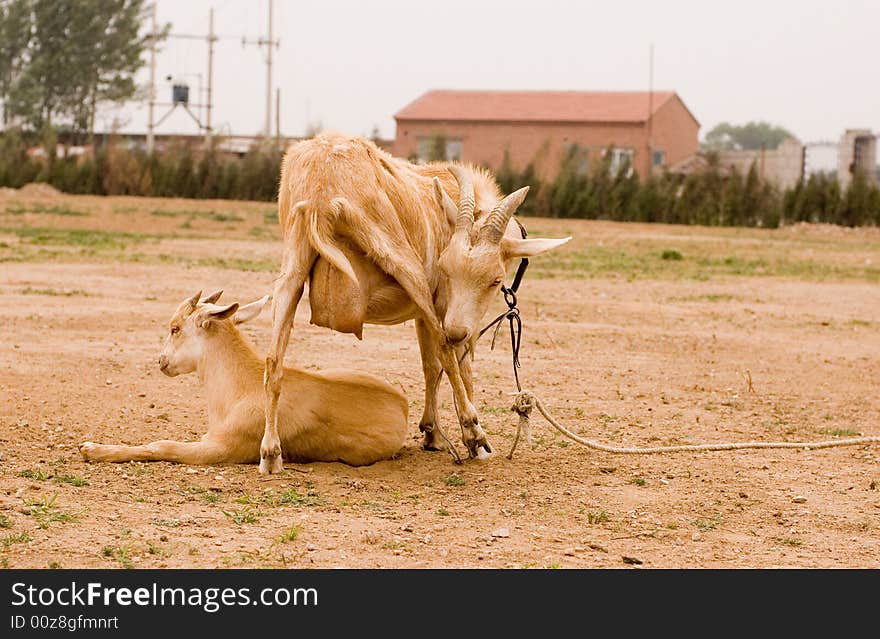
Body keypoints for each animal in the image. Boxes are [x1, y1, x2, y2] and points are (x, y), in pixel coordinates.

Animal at [79, 292, 410, 468]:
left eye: (175, 328)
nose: (162, 361)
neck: (241, 388)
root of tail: (404, 403)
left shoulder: (221, 449)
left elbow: (163, 446)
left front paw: (92, 449)